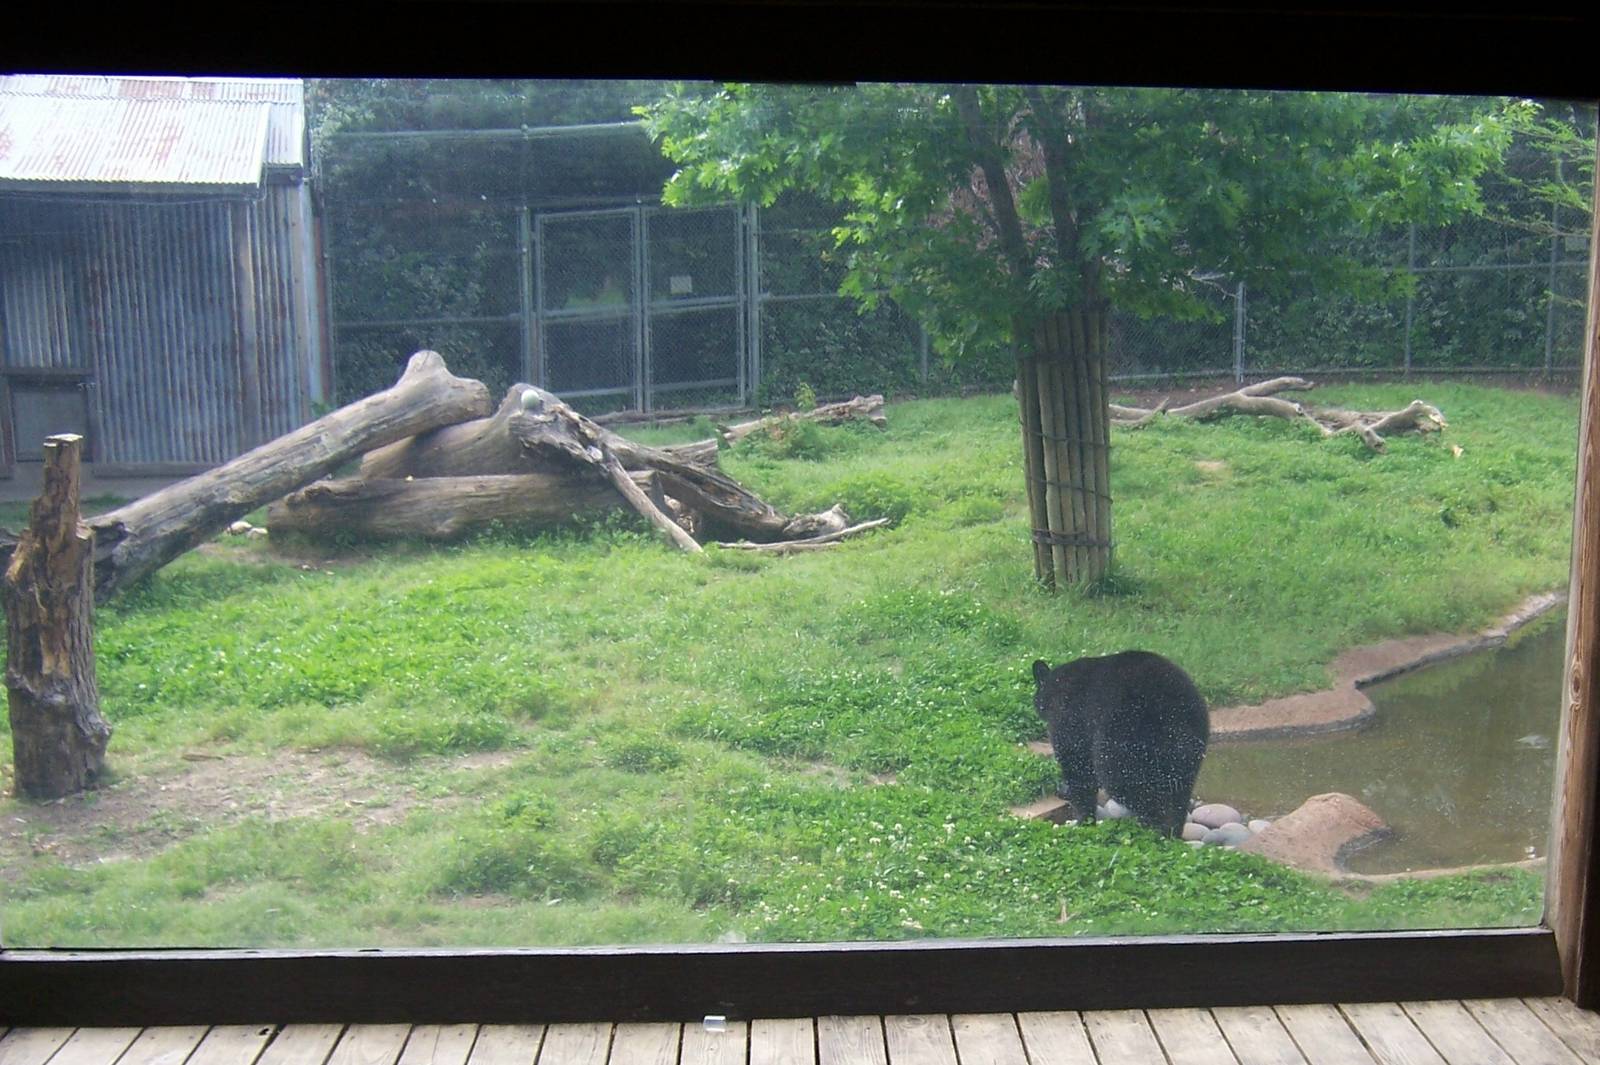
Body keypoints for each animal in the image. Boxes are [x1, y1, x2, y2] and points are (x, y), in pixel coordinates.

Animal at [1032, 650, 1210, 837]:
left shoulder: (1068, 720)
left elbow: (1077, 766)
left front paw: (1083, 822)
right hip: (1192, 741)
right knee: (1179, 789)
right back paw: (1171, 831)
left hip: (1123, 734)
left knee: (1122, 780)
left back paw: (1153, 829)